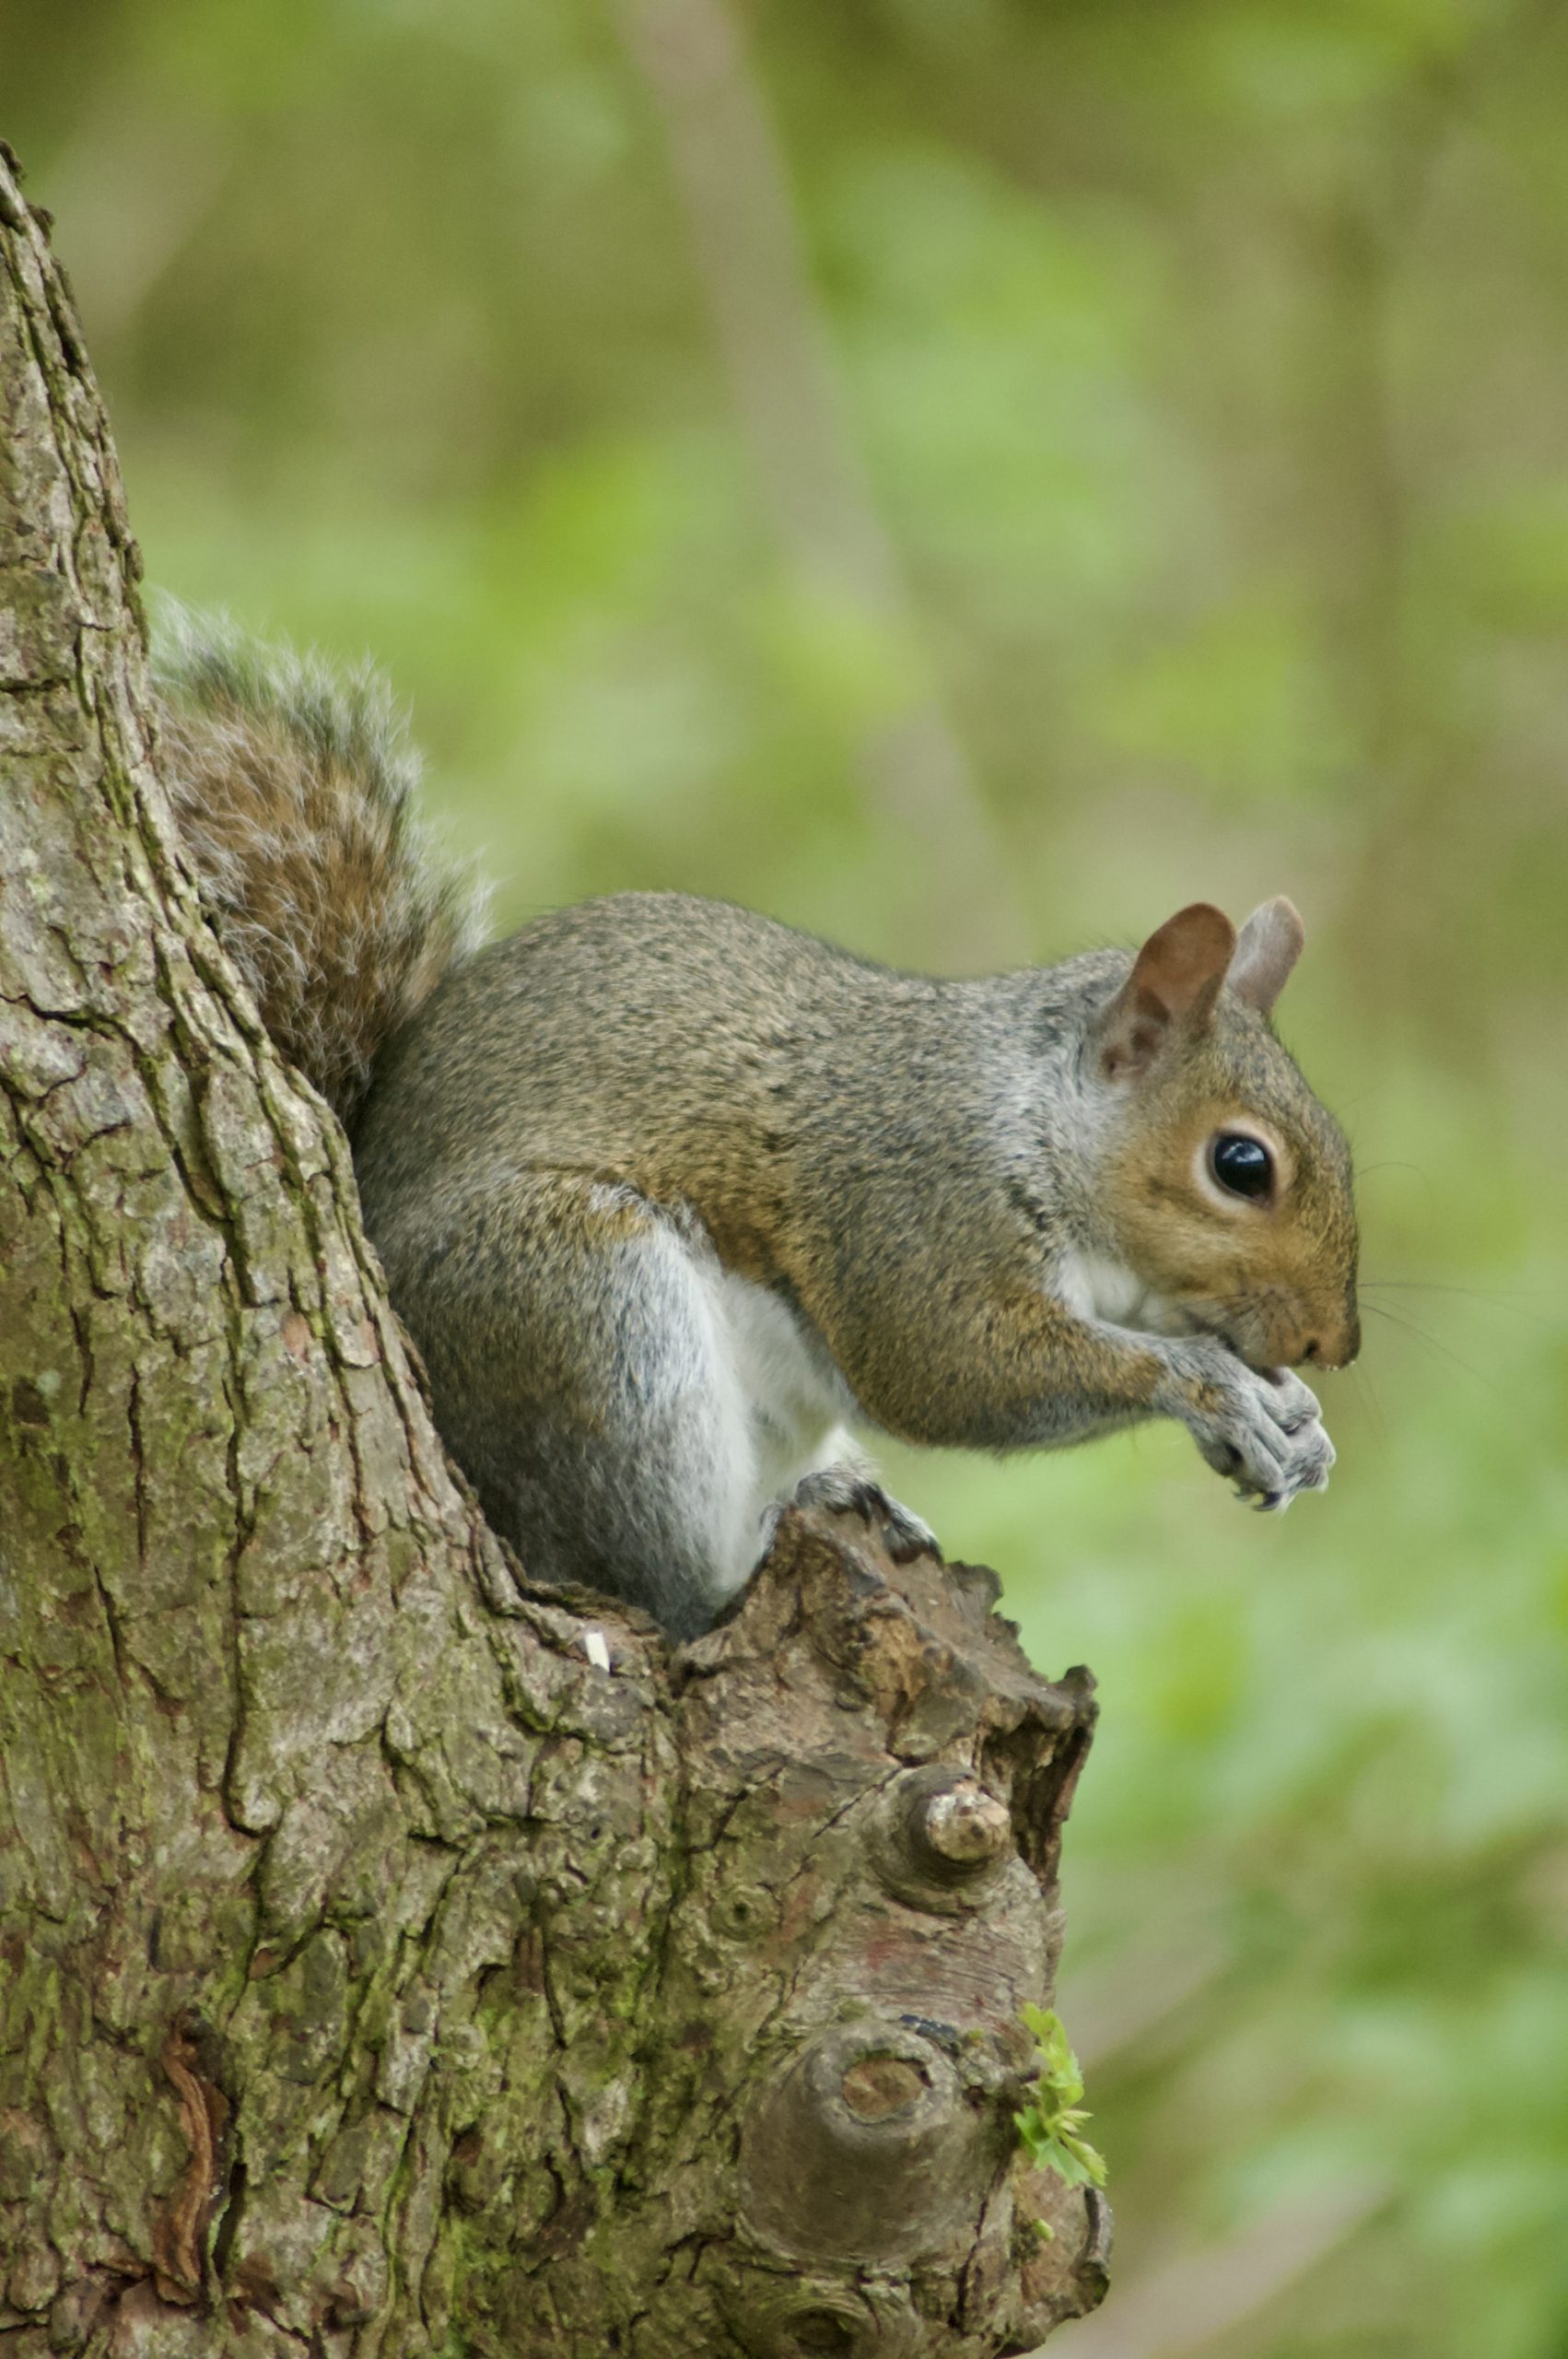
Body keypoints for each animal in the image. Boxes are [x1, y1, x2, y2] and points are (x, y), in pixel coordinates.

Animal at [155, 611, 1360, 1640]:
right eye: (1240, 1164)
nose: (1330, 1346)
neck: (1026, 1117)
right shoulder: (911, 1213)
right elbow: (949, 1369)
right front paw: (1216, 1389)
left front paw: (1295, 1420)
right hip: (577, 1302)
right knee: (653, 1586)